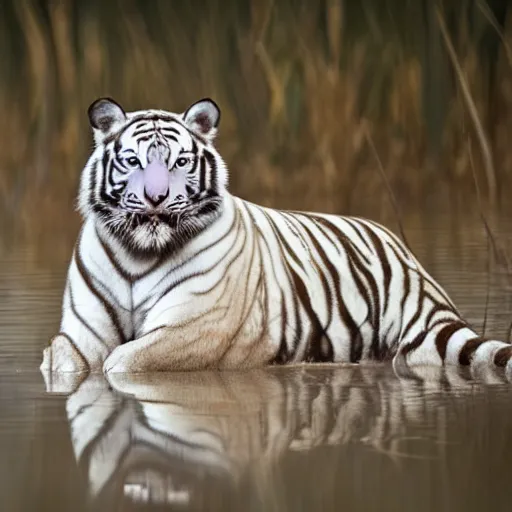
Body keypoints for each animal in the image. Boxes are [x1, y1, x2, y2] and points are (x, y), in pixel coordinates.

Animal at [40, 97, 512, 376]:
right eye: (133, 160)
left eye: (179, 163)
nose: (157, 198)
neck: (139, 253)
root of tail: (414, 266)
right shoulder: (82, 333)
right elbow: (60, 365)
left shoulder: (194, 328)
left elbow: (122, 363)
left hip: (415, 344)